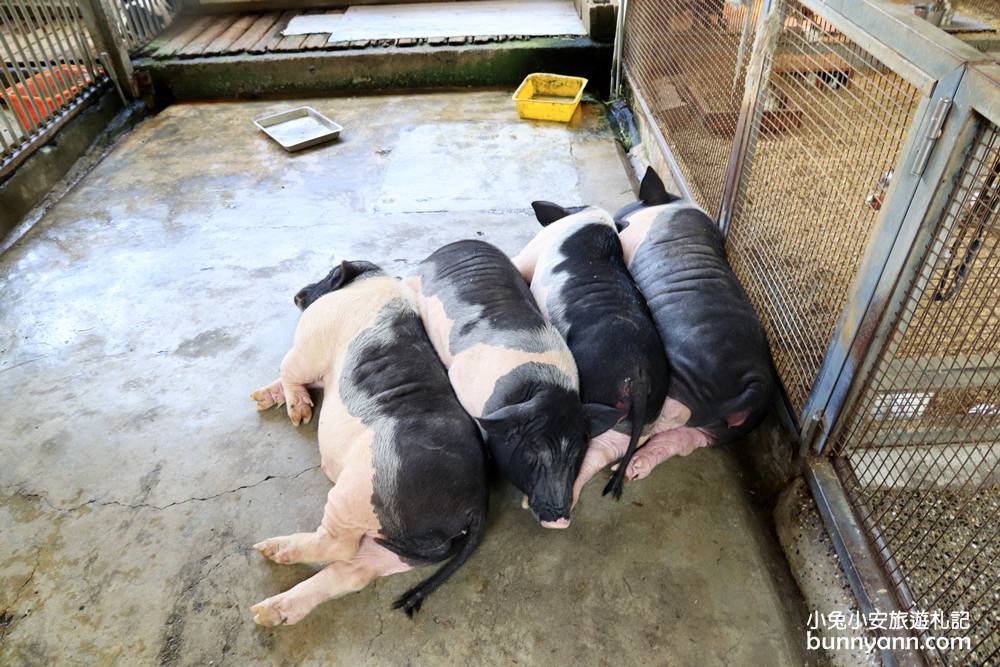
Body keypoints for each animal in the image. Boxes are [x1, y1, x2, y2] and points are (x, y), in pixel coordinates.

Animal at [248, 260, 486, 628]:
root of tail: (476, 505)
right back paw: (264, 609)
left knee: (337, 547)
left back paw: (265, 550)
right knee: (352, 573)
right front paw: (259, 399)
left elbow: (290, 367)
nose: (298, 294)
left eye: (328, 274)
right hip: (398, 550)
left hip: (359, 489)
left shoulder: (312, 334)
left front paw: (298, 413)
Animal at [512, 206, 668, 504]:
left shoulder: (533, 250)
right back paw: (620, 471)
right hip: (644, 414)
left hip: (595, 393)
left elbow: (517, 262)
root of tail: (639, 377)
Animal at [608, 167, 780, 480]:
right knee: (681, 441)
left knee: (658, 421)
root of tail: (756, 381)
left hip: (686, 379)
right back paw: (632, 470)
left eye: (621, 220)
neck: (669, 205)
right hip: (716, 430)